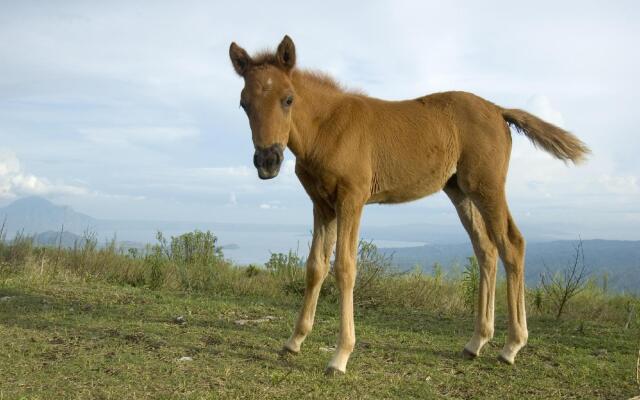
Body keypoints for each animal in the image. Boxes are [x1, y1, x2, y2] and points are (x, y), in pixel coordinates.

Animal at [229, 35, 592, 376]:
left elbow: (345, 268)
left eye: (288, 99)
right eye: (244, 104)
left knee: (512, 244)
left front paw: (340, 356)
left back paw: (512, 346)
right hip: (460, 191)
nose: (268, 161)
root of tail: (497, 109)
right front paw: (294, 341)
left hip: (487, 187)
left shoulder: (352, 199)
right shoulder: (322, 204)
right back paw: (476, 342)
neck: (327, 128)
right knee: (486, 250)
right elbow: (315, 266)